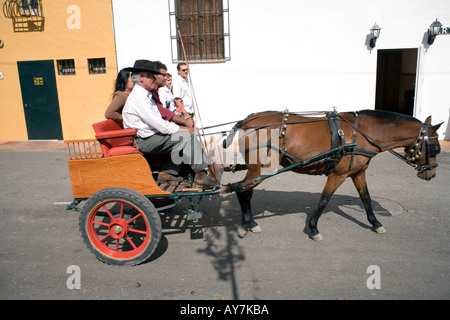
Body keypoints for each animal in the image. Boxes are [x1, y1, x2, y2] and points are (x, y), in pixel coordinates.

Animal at [222, 109, 442, 240]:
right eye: (435, 147)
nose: (431, 173)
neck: (361, 133)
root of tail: (249, 120)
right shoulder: (338, 175)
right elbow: (323, 201)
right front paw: (313, 228)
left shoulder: (357, 173)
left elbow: (366, 198)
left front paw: (376, 223)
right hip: (260, 168)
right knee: (242, 190)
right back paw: (248, 223)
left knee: (245, 191)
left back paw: (249, 222)